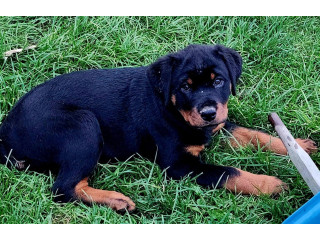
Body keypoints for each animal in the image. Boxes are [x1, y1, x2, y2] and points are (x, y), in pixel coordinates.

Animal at [0, 44, 316, 211]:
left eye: (218, 81)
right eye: (185, 87)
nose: (208, 112)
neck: (173, 110)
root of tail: (6, 134)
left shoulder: (217, 126)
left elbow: (254, 135)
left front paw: (299, 146)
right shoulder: (178, 164)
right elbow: (228, 172)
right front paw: (270, 185)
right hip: (83, 126)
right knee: (63, 188)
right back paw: (116, 199)